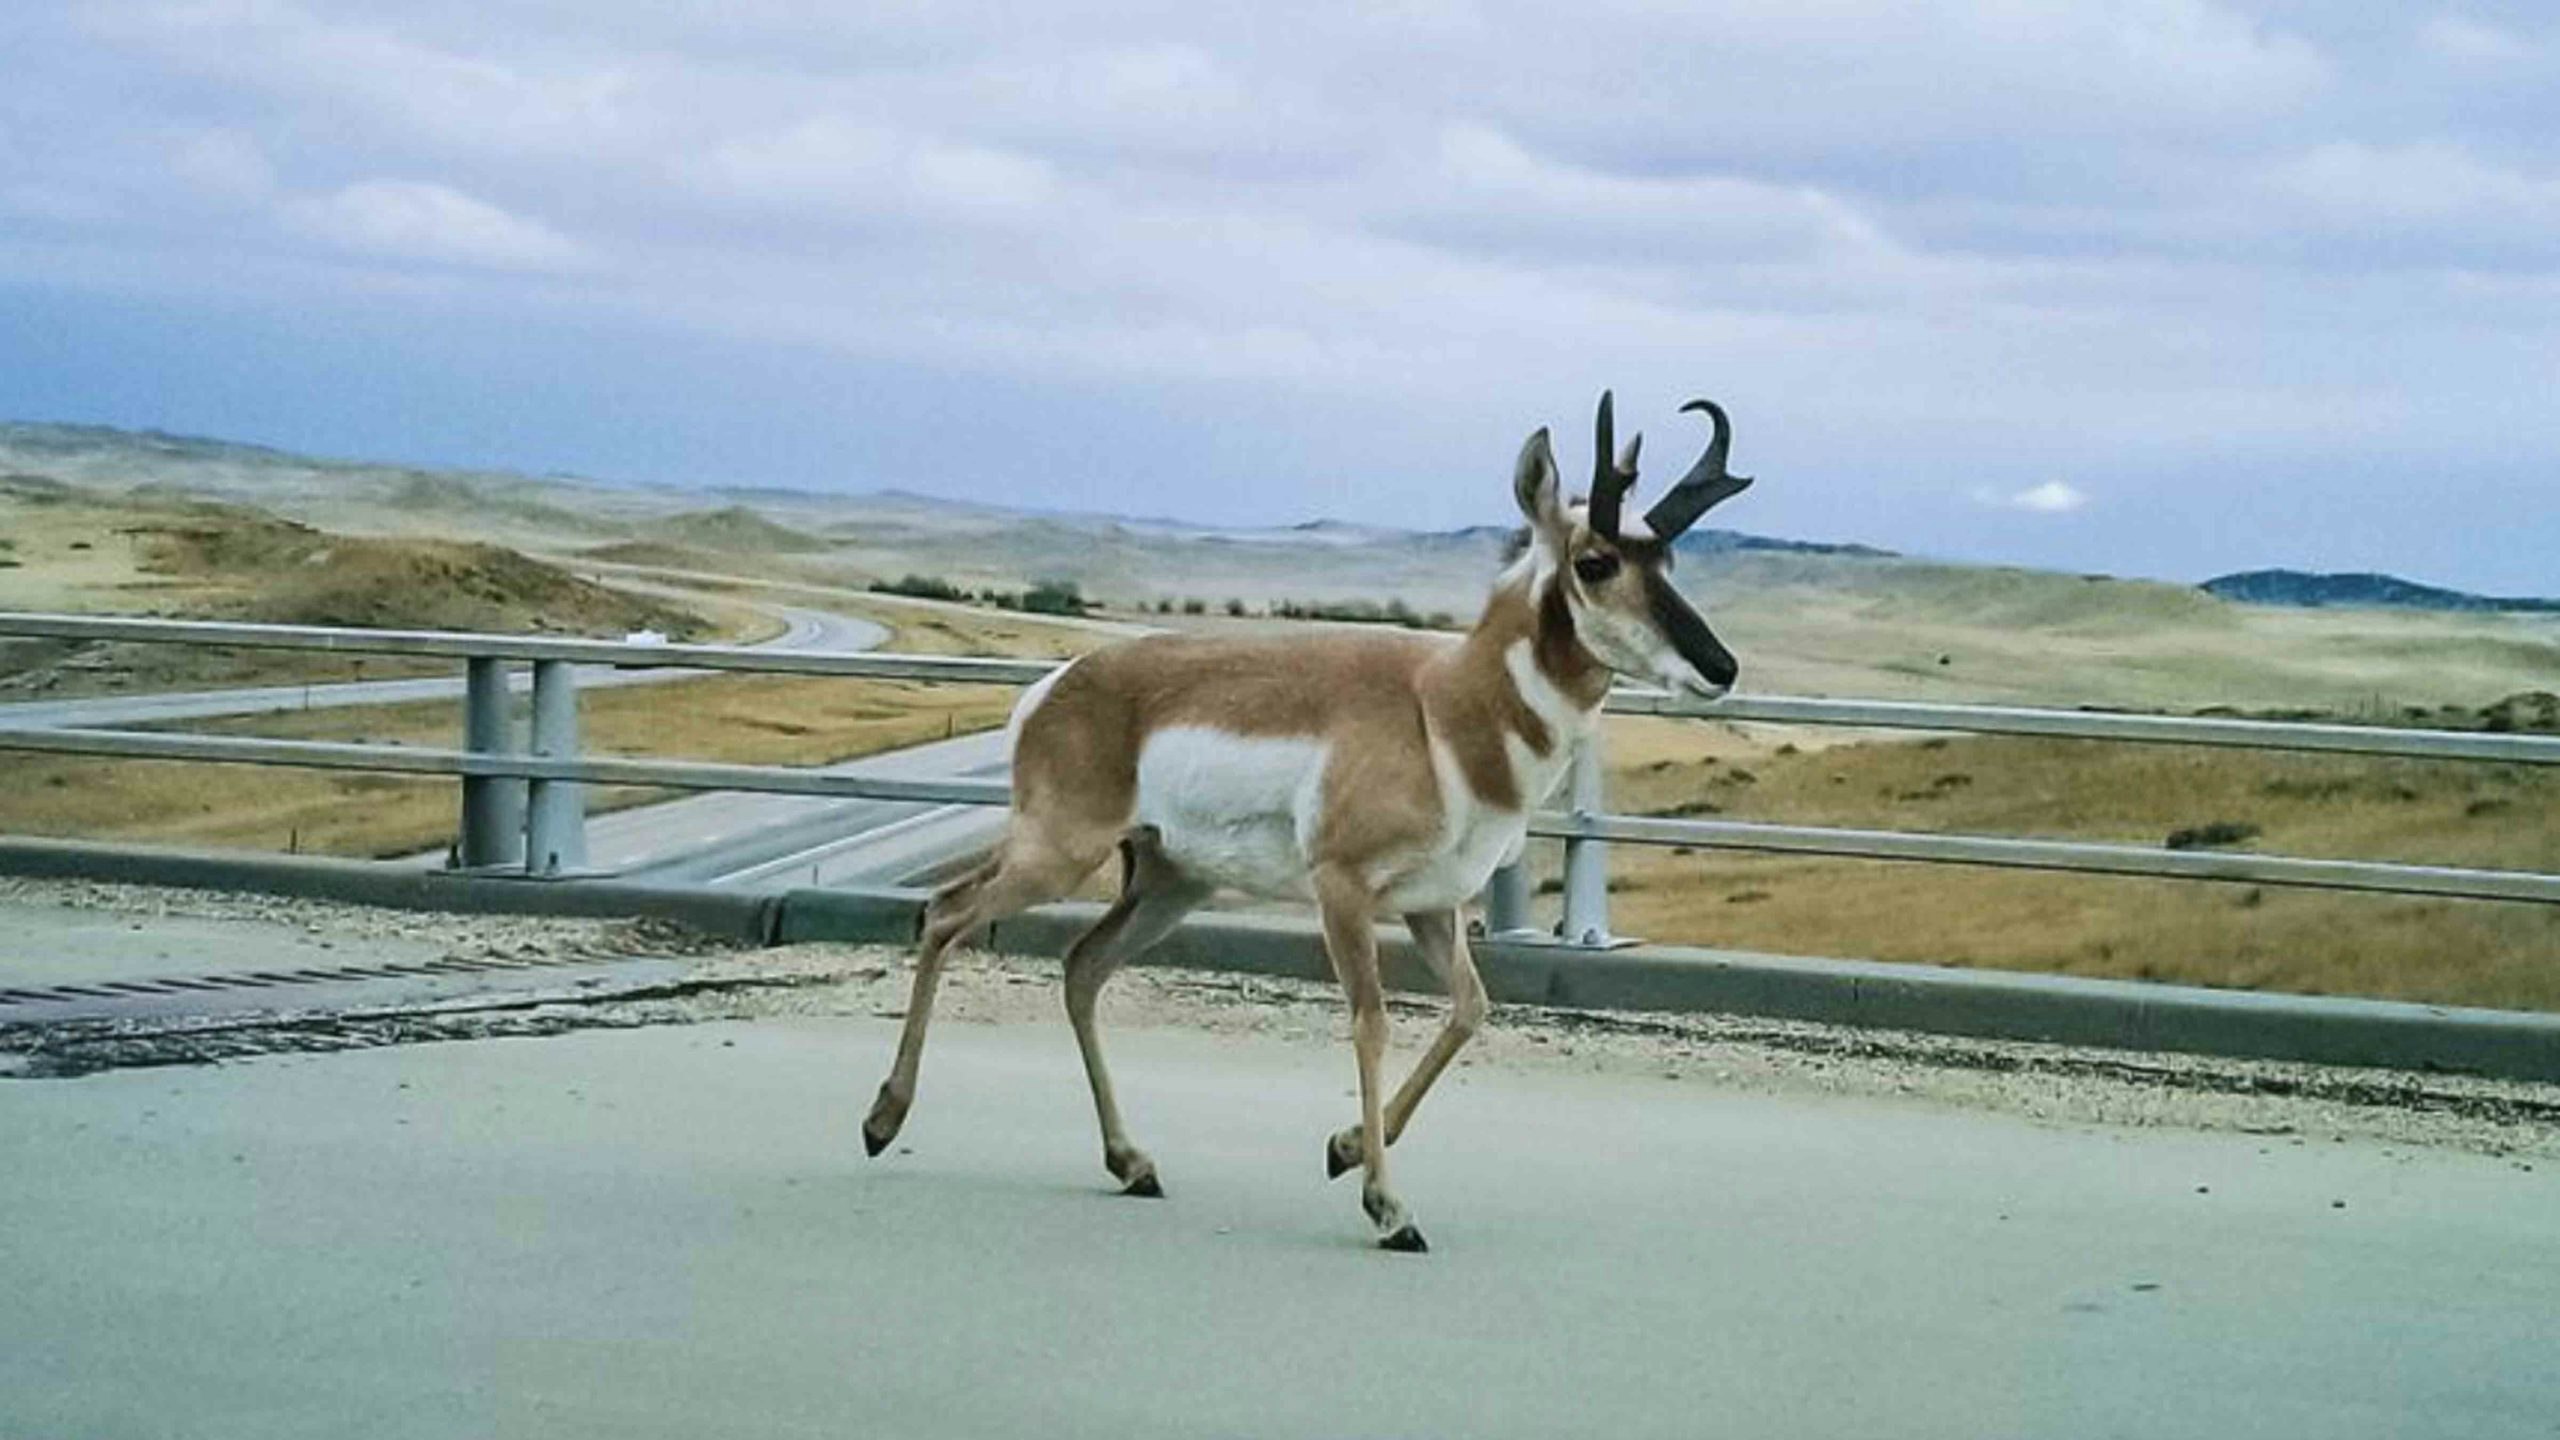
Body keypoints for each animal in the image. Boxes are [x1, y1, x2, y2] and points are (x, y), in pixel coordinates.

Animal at [861, 391, 1757, 1252]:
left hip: (1166, 884)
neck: (1443, 709)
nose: (1722, 666)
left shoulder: (1434, 908)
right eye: (1596, 562)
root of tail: (1059, 683)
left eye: (1667, 558)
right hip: (1059, 852)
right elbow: (1372, 1021)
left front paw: (1343, 1148)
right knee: (945, 913)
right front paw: (1389, 1208)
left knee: (1080, 965)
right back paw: (882, 1121)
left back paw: (1132, 1162)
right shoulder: (1344, 893)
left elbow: (1470, 1010)